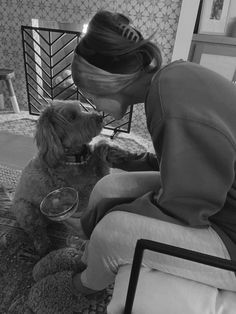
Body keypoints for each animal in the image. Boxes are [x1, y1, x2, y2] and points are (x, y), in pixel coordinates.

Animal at [12, 99, 137, 256]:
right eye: (72, 116)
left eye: (81, 108)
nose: (100, 117)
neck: (76, 159)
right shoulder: (82, 199)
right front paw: (82, 241)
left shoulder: (98, 175)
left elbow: (100, 148)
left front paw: (117, 151)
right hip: (25, 209)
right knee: (36, 230)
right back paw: (43, 246)